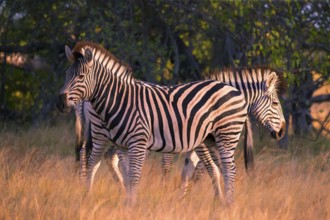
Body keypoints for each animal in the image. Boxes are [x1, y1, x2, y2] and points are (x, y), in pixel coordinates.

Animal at [56, 41, 284, 205]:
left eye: (80, 76)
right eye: (275, 103)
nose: (281, 131)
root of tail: (233, 90)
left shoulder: (193, 141)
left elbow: (197, 170)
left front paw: (185, 197)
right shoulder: (195, 143)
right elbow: (200, 170)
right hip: (102, 135)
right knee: (94, 160)